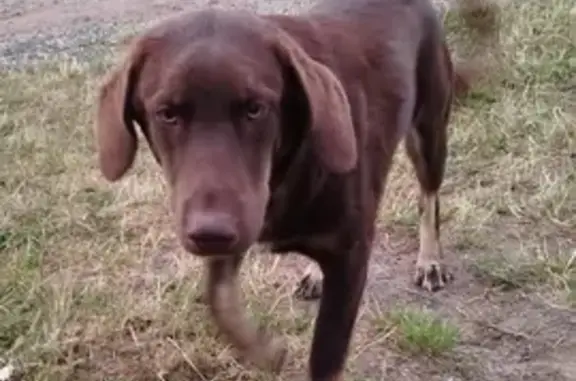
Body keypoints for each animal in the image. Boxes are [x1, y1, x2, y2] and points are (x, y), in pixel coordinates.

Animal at [95, 0, 500, 378]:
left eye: (256, 109)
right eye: (167, 113)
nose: (210, 233)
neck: (287, 168)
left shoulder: (350, 257)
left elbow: (326, 356)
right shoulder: (241, 218)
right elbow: (218, 296)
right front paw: (264, 349)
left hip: (429, 130)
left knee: (429, 198)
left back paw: (430, 259)